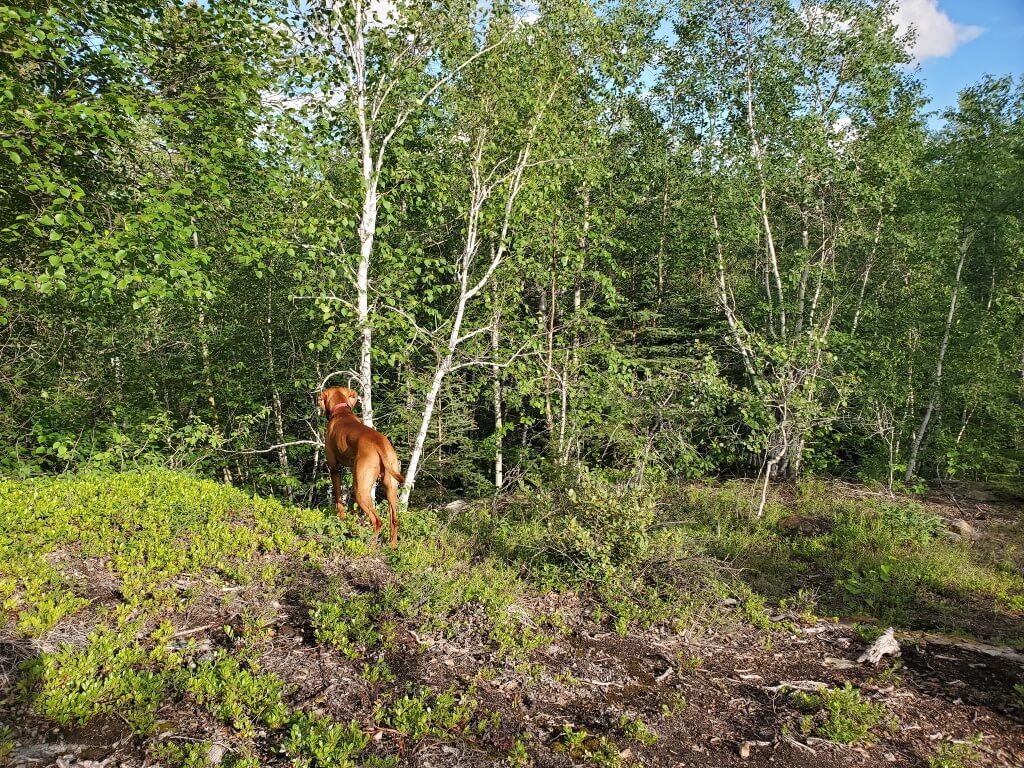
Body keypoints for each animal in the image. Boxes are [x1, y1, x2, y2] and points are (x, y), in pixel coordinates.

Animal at [319, 391, 403, 548]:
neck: (341, 411)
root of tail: (379, 443)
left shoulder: (334, 469)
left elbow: (338, 499)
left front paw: (341, 519)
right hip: (391, 487)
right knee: (394, 519)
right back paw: (392, 546)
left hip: (360, 490)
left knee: (377, 521)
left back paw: (370, 548)